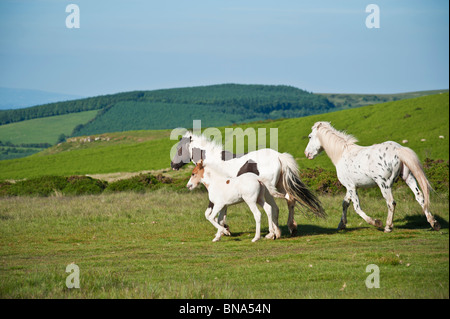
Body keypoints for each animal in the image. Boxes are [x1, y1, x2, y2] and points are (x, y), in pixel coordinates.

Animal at [171, 132, 324, 238]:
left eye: (179, 149)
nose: (173, 165)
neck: (212, 164)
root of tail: (279, 156)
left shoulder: (216, 196)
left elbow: (209, 214)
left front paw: (223, 231)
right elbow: (221, 214)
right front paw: (225, 229)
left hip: (269, 191)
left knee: (276, 206)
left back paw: (274, 233)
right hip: (279, 187)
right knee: (290, 200)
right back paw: (290, 228)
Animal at [304, 121, 442, 234]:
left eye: (310, 136)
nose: (307, 154)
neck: (342, 154)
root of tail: (398, 149)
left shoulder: (351, 187)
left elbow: (357, 208)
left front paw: (376, 222)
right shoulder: (351, 187)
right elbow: (345, 203)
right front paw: (341, 225)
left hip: (384, 184)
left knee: (391, 202)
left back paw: (388, 227)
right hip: (408, 177)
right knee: (420, 198)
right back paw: (434, 223)